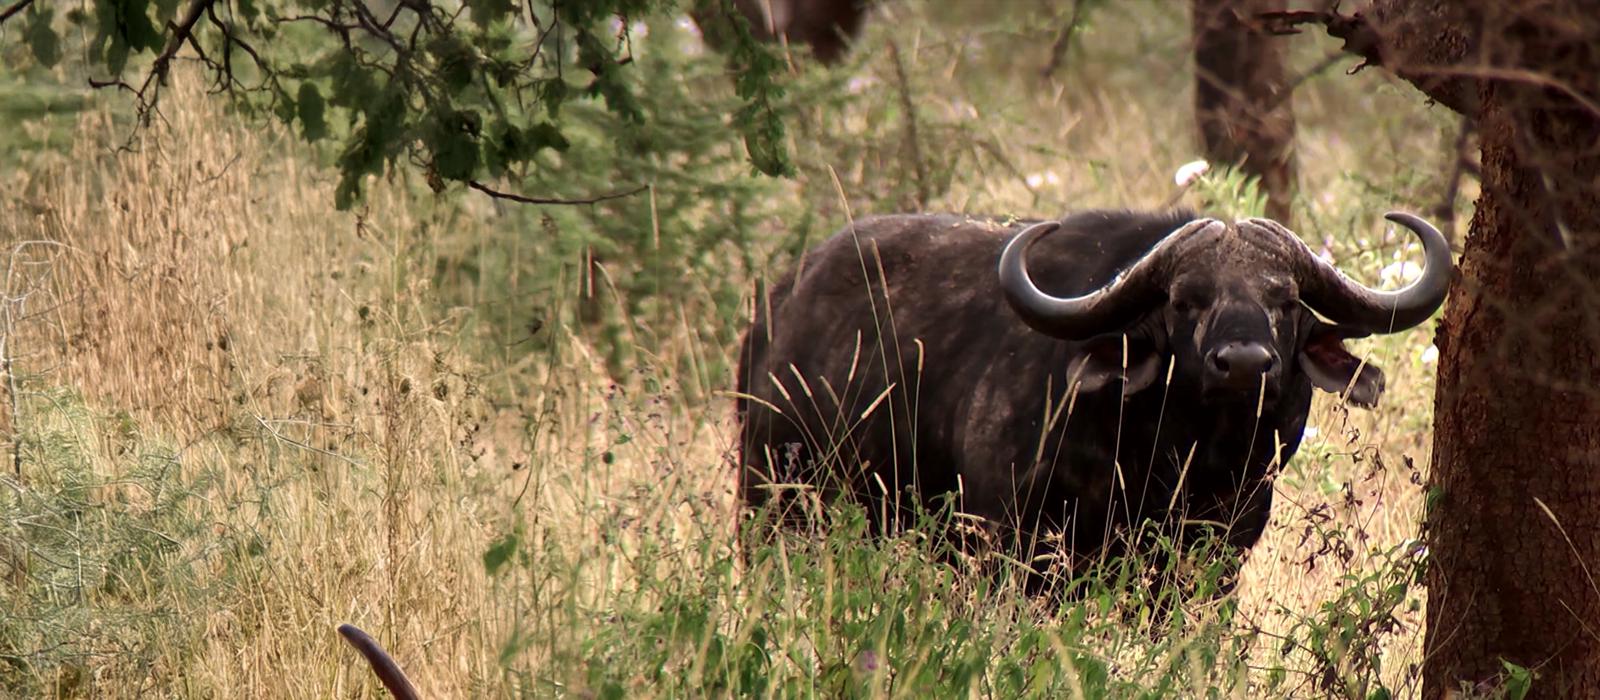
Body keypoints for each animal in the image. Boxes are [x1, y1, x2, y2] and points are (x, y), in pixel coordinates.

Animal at [734, 208, 1451, 591]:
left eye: (1285, 300)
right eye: (1184, 300)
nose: (1245, 363)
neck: (1172, 463)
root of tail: (775, 310)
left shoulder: (1217, 565)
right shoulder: (1009, 548)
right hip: (773, 502)